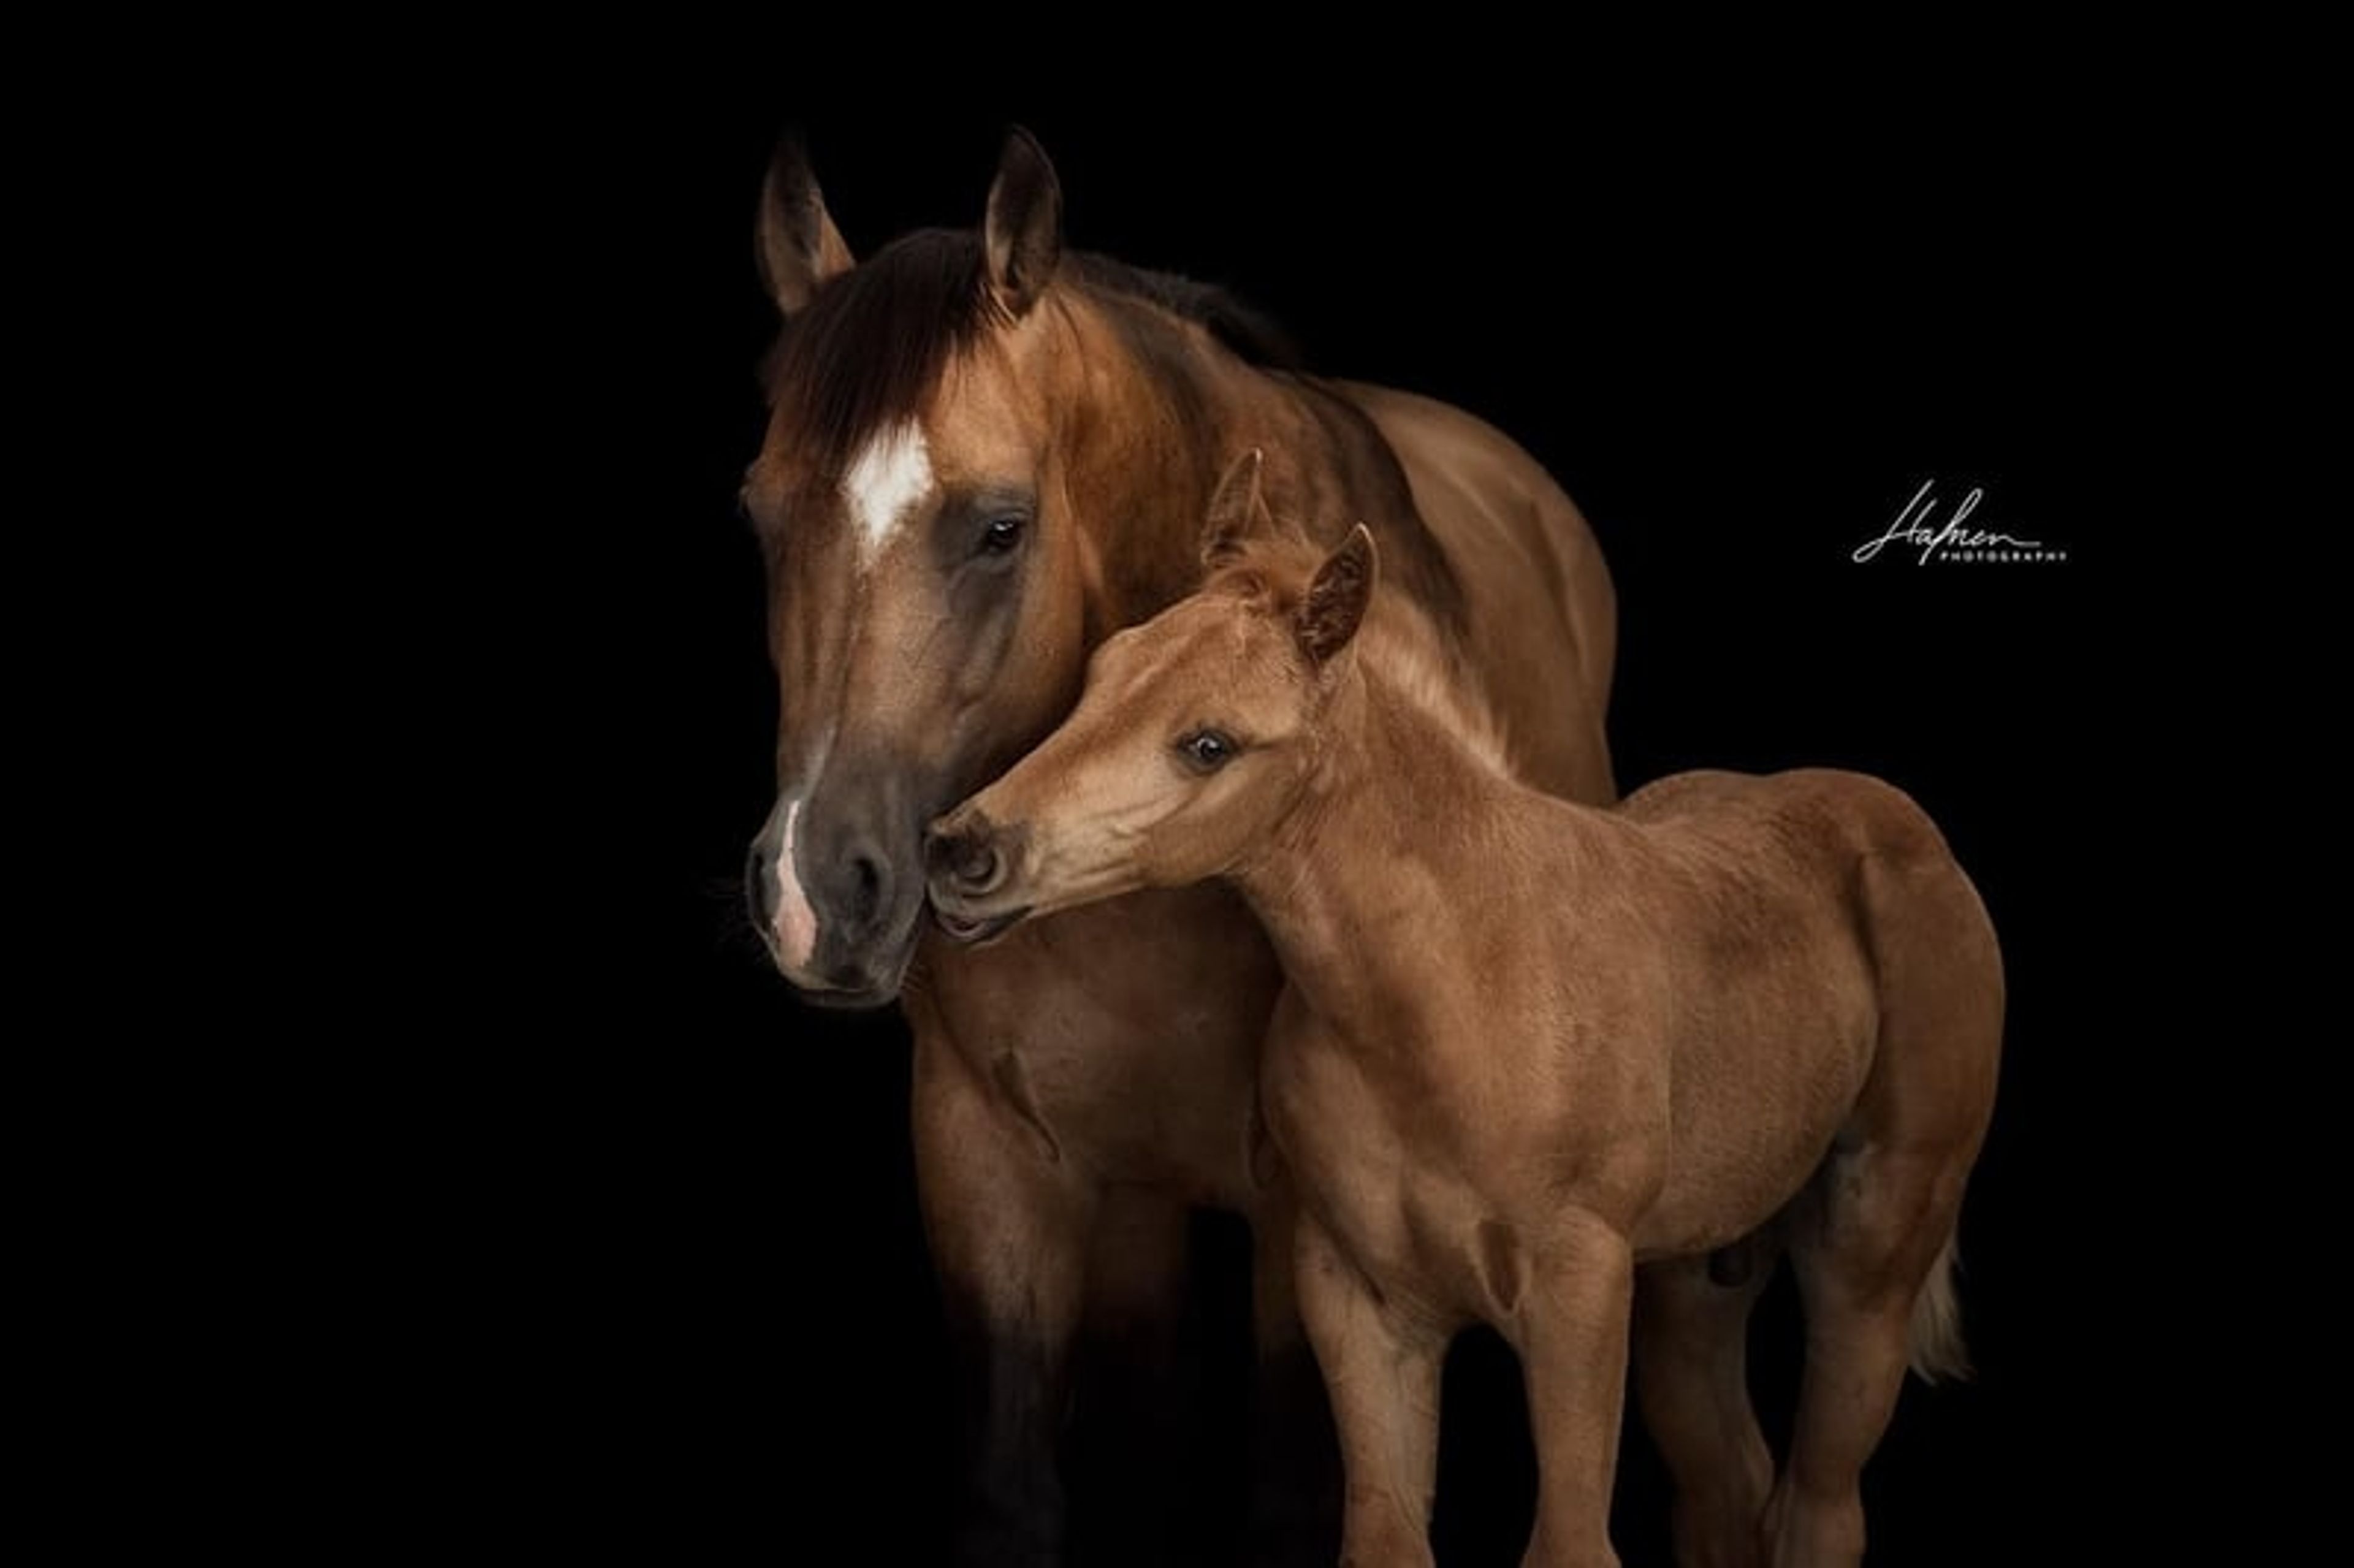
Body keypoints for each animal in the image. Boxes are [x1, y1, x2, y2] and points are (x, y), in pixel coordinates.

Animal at [739, 131, 1616, 1564]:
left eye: (1000, 525)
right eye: (761, 517)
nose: (819, 892)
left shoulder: (1307, 1217)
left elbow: (1295, 1493)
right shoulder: (986, 1159)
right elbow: (1022, 1490)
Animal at [927, 459, 2004, 1568]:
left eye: (1209, 743)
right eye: (1103, 669)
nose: (964, 850)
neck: (1452, 995)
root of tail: (1900, 825)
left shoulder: (1578, 1291)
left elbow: (1570, 1541)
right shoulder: (1362, 1300)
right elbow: (1385, 1534)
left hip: (1871, 1252)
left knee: (1819, 1502)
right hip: (1692, 1281)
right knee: (1728, 1488)